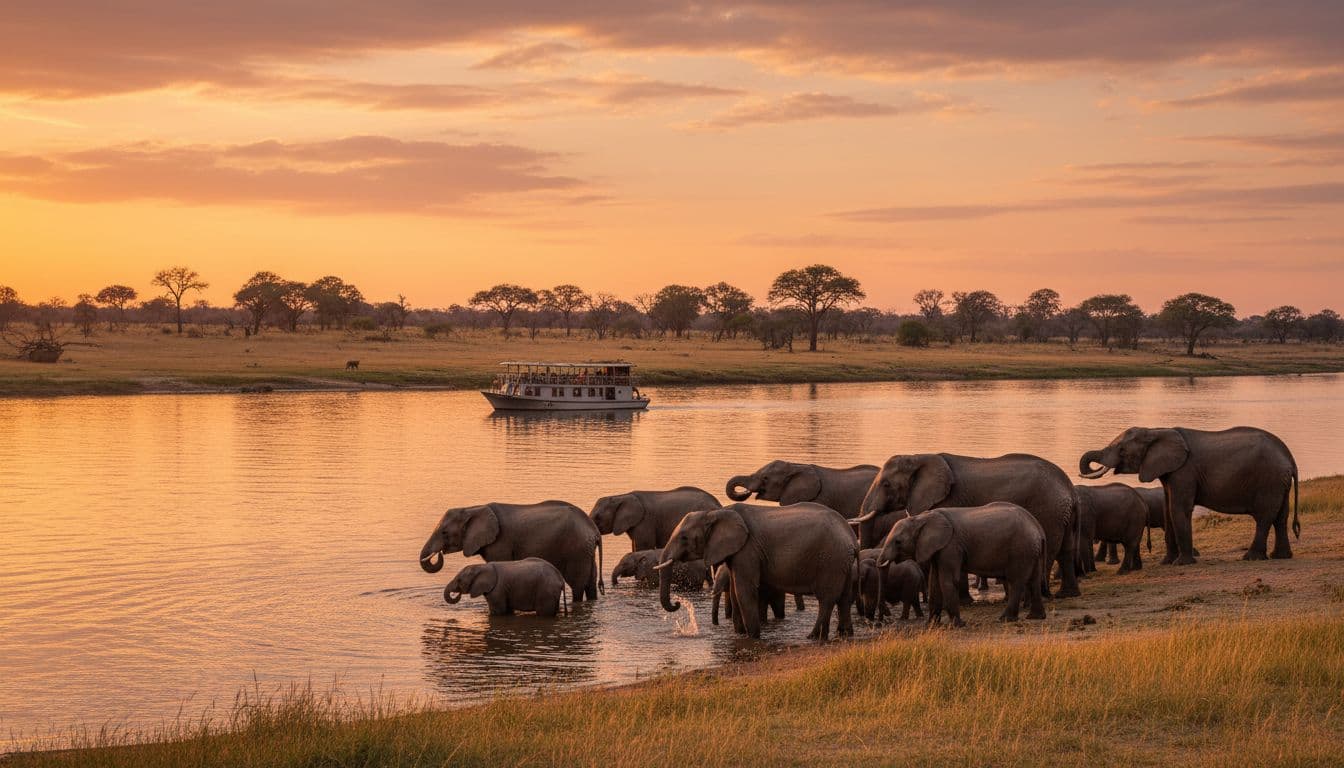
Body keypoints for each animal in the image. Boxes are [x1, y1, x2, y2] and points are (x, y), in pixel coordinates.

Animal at [419, 501, 603, 601]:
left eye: (444, 532)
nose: (439, 554)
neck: (473, 508)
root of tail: (594, 530)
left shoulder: (501, 542)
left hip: (576, 550)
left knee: (577, 585)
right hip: (586, 551)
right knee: (590, 584)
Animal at [658, 503, 857, 640]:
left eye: (684, 538)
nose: (677, 603)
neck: (715, 513)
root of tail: (852, 538)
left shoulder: (748, 549)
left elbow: (743, 591)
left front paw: (753, 637)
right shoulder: (737, 553)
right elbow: (735, 592)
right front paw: (739, 635)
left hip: (830, 560)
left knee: (826, 599)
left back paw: (812, 636)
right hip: (843, 563)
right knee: (844, 598)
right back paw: (844, 634)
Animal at [852, 453, 1081, 598]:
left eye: (886, 484)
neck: (918, 456)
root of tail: (1069, 487)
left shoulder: (947, 500)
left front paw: (963, 602)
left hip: (1048, 510)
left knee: (1049, 549)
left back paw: (1041, 594)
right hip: (1062, 514)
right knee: (1066, 549)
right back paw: (1066, 594)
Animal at [879, 503, 1047, 626]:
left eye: (898, 542)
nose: (882, 621)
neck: (921, 517)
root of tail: (1038, 528)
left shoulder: (951, 546)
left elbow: (947, 581)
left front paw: (958, 625)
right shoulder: (937, 549)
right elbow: (934, 583)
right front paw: (931, 625)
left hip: (1021, 550)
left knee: (1016, 581)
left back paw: (1005, 619)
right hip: (1032, 551)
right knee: (1034, 580)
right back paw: (1035, 617)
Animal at [1080, 426, 1299, 564]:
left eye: (1122, 449)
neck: (1156, 430)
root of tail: (1289, 456)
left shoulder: (1184, 470)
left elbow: (1178, 509)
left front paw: (1181, 563)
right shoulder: (1170, 472)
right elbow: (1168, 510)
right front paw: (1167, 562)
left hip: (1269, 480)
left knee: (1265, 517)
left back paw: (1251, 558)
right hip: (1279, 482)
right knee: (1281, 517)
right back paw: (1281, 556)